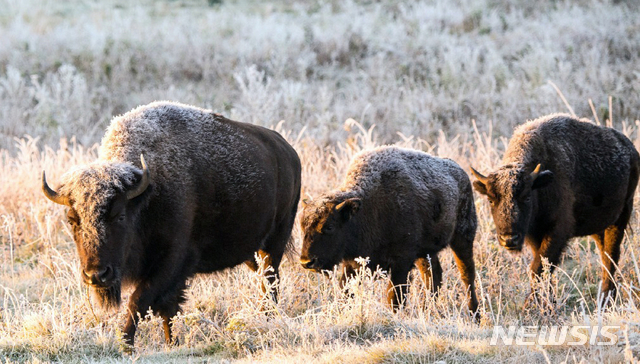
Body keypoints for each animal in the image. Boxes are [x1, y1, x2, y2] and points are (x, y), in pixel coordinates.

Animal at [42, 101, 302, 346]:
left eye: (120, 216)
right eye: (72, 220)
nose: (96, 275)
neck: (147, 194)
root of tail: (289, 152)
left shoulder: (172, 262)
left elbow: (139, 302)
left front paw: (126, 345)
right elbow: (167, 310)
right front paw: (171, 342)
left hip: (275, 241)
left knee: (270, 281)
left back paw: (268, 317)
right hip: (251, 252)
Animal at [302, 146, 478, 316]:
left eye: (329, 226)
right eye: (302, 226)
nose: (306, 262)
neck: (367, 207)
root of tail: (461, 173)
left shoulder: (402, 262)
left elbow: (395, 297)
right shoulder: (352, 264)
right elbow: (346, 292)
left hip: (463, 237)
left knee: (467, 274)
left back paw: (474, 314)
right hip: (426, 252)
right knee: (433, 276)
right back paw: (427, 310)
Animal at [470, 114, 640, 302]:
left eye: (527, 197)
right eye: (491, 200)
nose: (509, 239)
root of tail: (631, 149)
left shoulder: (558, 231)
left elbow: (539, 267)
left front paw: (532, 304)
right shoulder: (535, 235)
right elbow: (543, 267)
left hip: (621, 216)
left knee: (611, 256)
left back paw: (606, 298)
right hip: (599, 227)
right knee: (605, 254)